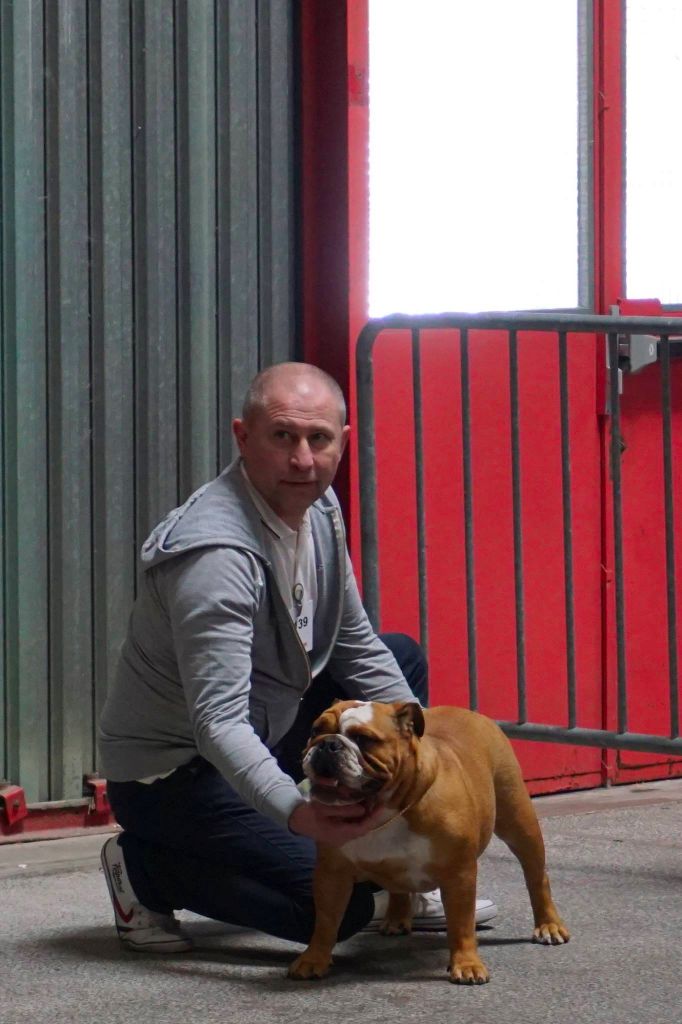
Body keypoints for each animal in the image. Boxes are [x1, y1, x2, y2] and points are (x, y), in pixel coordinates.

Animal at [288, 700, 569, 984]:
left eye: (363, 739)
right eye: (315, 730)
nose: (327, 744)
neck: (388, 810)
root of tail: (471, 713)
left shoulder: (459, 874)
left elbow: (461, 924)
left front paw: (467, 964)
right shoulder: (332, 875)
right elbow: (325, 921)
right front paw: (314, 959)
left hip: (518, 822)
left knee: (536, 877)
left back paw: (549, 925)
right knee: (398, 889)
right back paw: (396, 919)